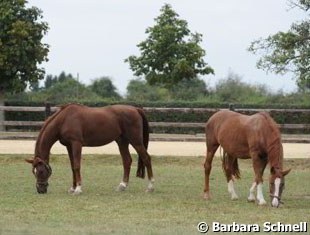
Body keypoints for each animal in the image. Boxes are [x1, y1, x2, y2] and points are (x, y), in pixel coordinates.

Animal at [25, 103, 154, 194]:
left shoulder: (76, 143)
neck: (64, 119)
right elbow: (72, 166)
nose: (40, 190)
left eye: (41, 171)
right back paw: (122, 186)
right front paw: (73, 188)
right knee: (127, 161)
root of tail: (136, 109)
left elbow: (77, 165)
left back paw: (150, 187)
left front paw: (78, 189)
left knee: (146, 158)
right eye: (33, 172)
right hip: (122, 141)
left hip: (136, 141)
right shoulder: (69, 146)